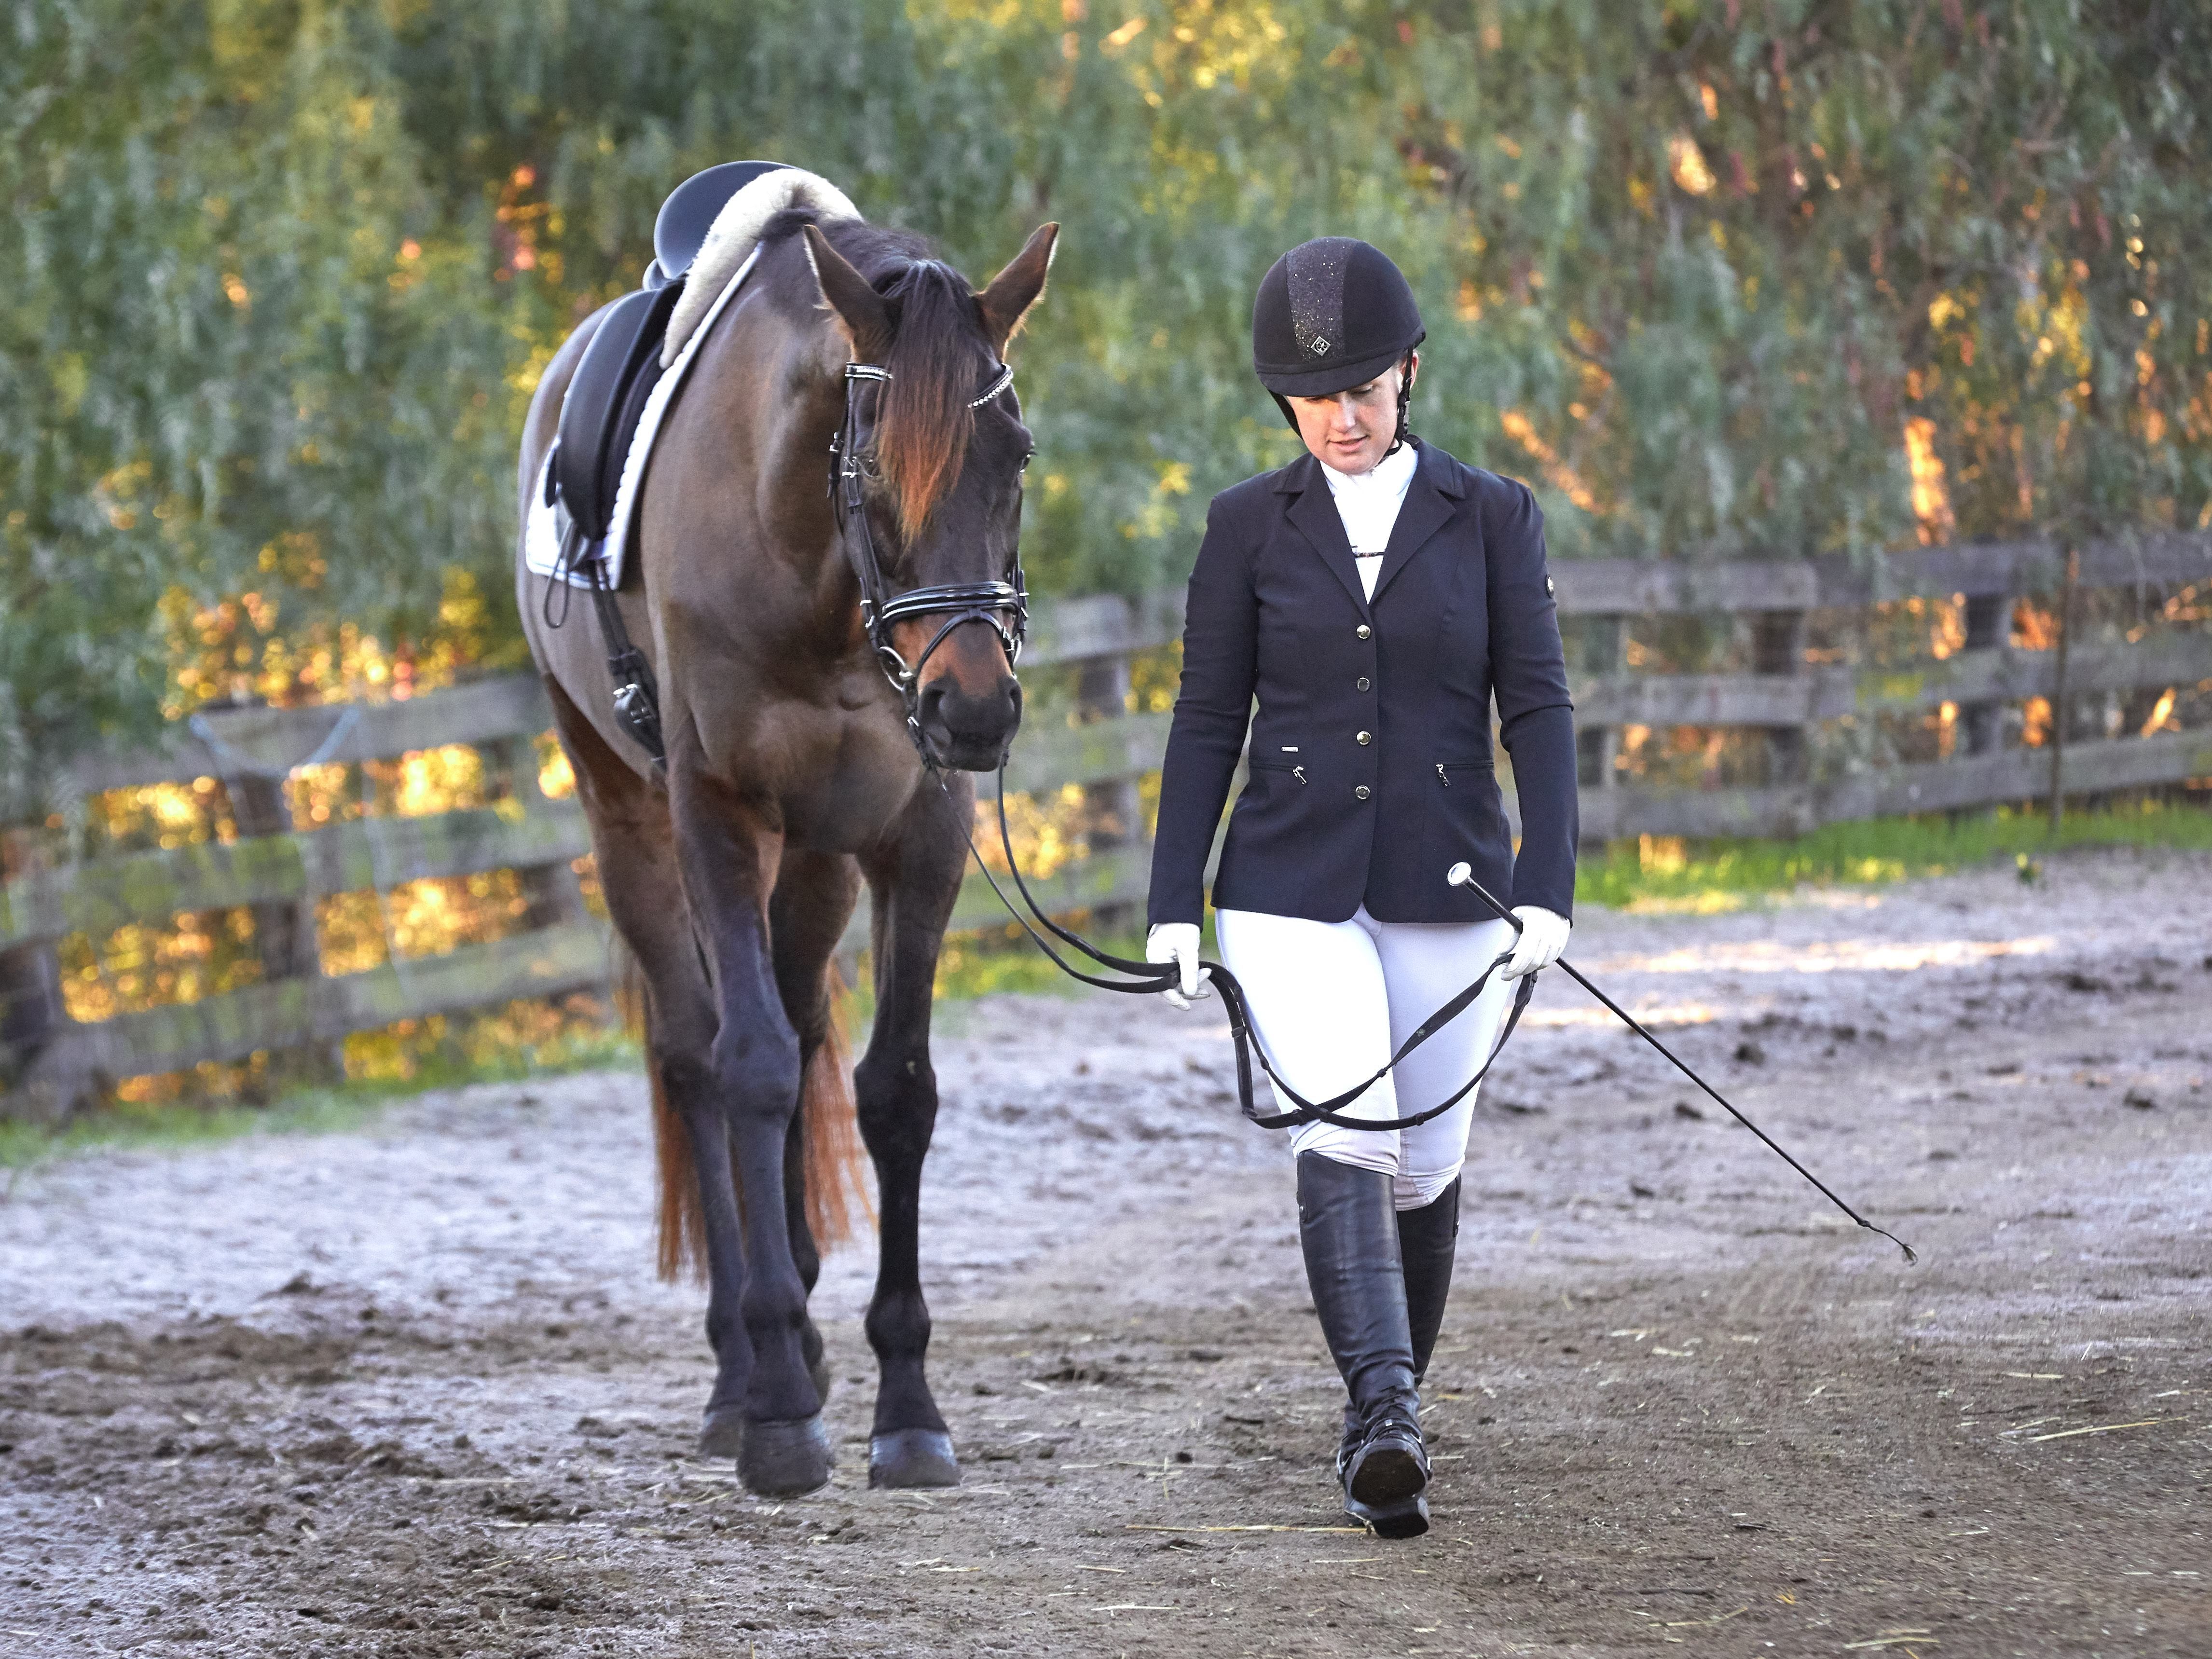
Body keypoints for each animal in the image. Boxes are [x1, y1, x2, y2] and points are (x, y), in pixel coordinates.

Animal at [516, 204, 1058, 1496]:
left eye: (1015, 458)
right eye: (872, 470)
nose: (975, 709)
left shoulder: (918, 835)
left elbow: (894, 1090)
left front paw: (906, 1404)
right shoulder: (716, 812)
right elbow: (750, 1068)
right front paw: (774, 1413)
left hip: (816, 856)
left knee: (807, 1022)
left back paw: (804, 1321)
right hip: (631, 822)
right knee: (697, 1054)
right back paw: (745, 1361)